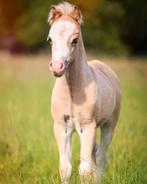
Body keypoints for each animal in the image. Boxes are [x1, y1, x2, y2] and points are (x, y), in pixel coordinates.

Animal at [46, 1, 120, 184]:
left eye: (75, 40)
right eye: (50, 39)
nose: (57, 67)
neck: (72, 92)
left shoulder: (88, 126)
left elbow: (84, 170)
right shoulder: (61, 126)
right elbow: (65, 167)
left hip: (109, 124)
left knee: (101, 158)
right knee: (95, 155)